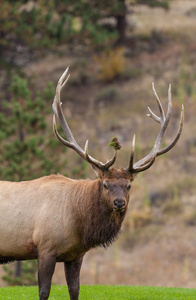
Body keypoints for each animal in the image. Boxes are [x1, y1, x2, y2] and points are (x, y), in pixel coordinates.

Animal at [0, 68, 184, 300]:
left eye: (129, 185)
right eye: (105, 184)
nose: (119, 203)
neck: (79, 221)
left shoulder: (75, 254)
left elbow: (75, 290)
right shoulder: (45, 248)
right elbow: (43, 291)